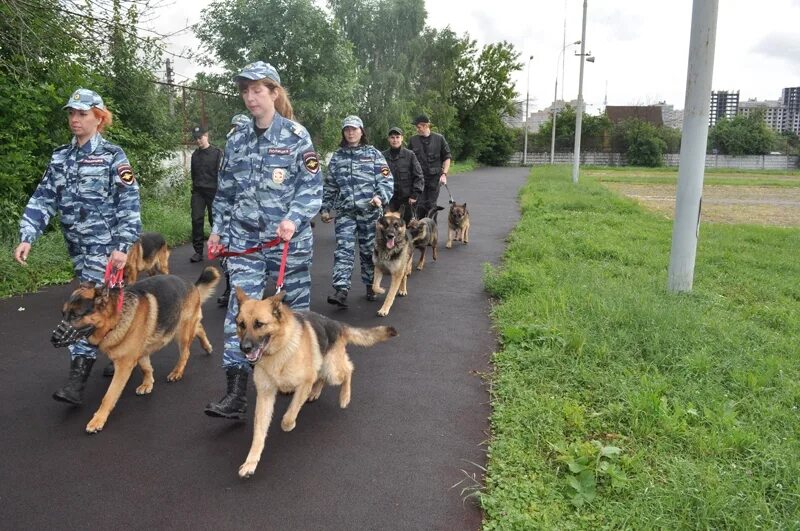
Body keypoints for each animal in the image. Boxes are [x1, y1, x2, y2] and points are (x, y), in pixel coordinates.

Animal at [50, 268, 219, 434]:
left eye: (76, 316)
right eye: (63, 314)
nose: (53, 339)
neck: (115, 319)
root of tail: (191, 284)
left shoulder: (124, 366)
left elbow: (109, 395)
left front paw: (98, 419)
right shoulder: (139, 352)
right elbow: (145, 367)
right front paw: (148, 383)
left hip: (181, 331)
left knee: (186, 351)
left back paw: (177, 371)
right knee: (199, 328)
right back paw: (207, 346)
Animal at [233, 288, 396, 480]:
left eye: (259, 324)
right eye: (241, 325)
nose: (244, 348)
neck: (279, 349)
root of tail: (337, 324)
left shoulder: (304, 382)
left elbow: (289, 415)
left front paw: (289, 426)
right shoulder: (265, 395)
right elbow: (259, 433)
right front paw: (251, 462)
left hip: (332, 369)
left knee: (348, 370)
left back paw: (345, 397)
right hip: (323, 365)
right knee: (322, 377)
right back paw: (316, 392)